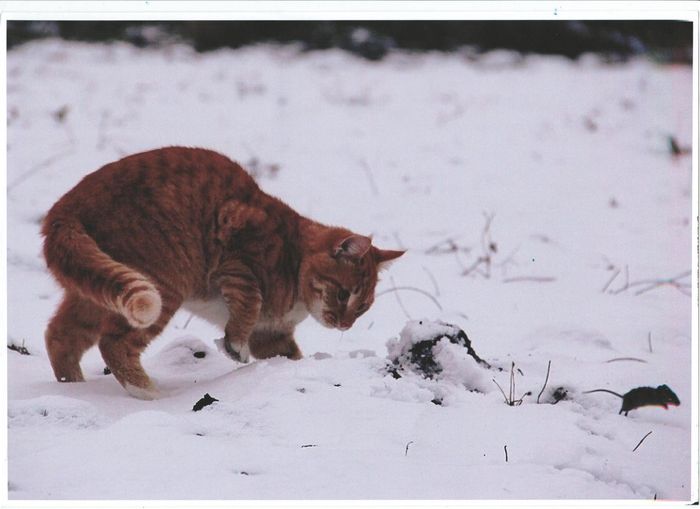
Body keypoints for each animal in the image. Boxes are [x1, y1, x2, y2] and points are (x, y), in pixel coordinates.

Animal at [42, 146, 404, 396]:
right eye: (343, 293)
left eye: (362, 306)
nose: (345, 324)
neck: (294, 254)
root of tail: (64, 209)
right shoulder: (237, 263)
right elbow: (250, 305)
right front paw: (234, 344)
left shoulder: (272, 336)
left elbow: (288, 355)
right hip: (162, 285)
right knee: (113, 343)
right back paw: (148, 393)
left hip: (96, 290)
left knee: (59, 335)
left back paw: (73, 388)